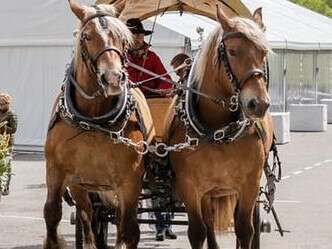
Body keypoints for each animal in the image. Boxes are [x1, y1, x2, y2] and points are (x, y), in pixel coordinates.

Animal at [42, 0, 153, 248]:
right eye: (86, 36)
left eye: (122, 38)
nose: (112, 78)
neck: (93, 121)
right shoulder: (57, 171)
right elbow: (53, 214)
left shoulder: (130, 181)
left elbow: (130, 230)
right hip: (80, 185)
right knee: (87, 215)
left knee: (122, 222)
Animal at [166, 6, 272, 249]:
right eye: (232, 51)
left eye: (263, 53)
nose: (259, 103)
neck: (217, 133)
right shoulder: (189, 186)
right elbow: (198, 231)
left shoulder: (250, 184)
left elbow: (245, 229)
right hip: (208, 192)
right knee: (209, 223)